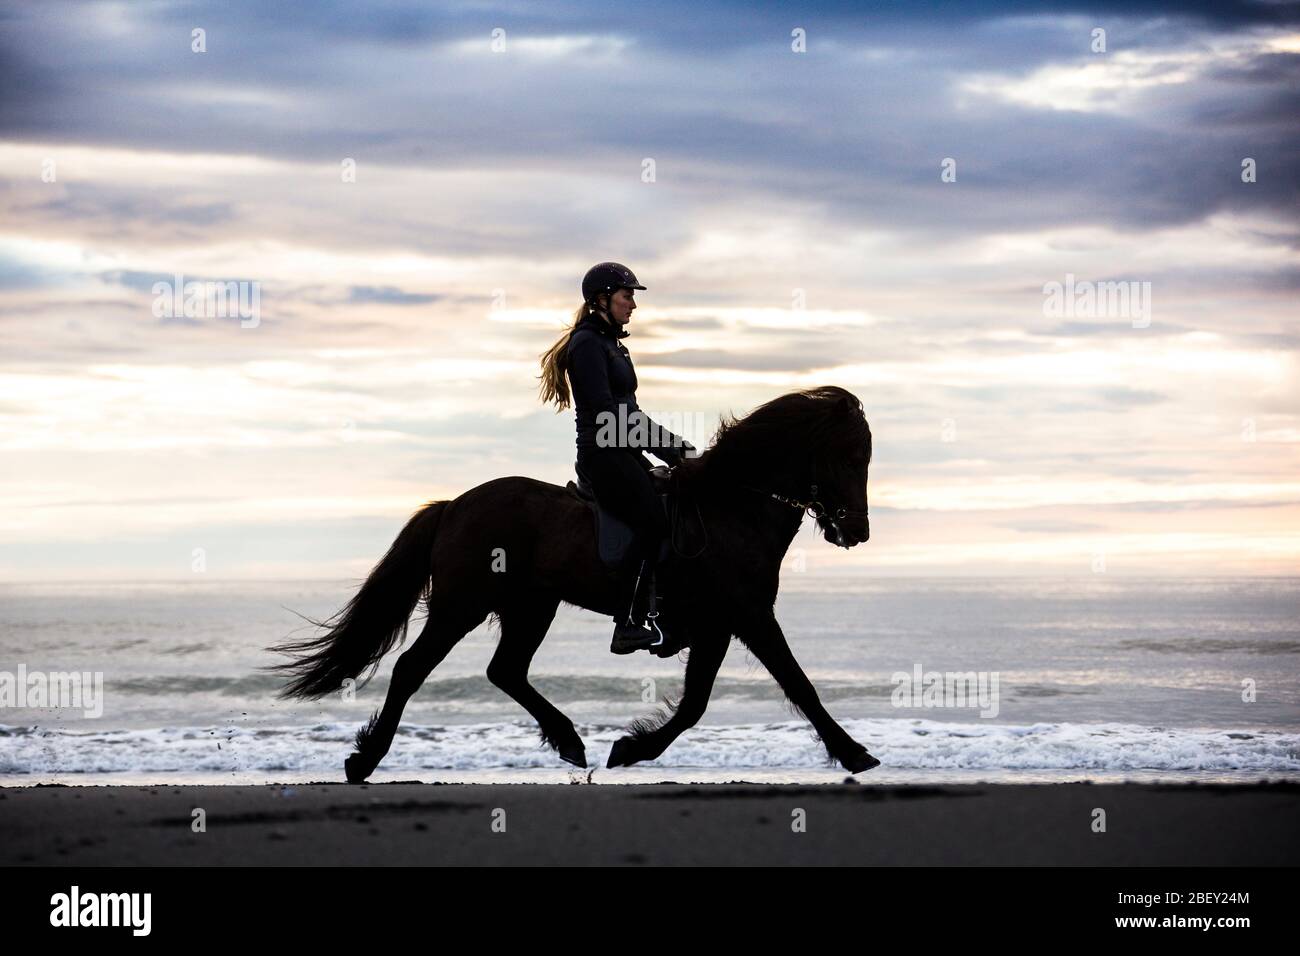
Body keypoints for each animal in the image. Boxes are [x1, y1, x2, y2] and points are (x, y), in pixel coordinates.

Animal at [266, 385, 879, 780]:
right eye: (850, 456)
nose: (857, 531)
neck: (734, 506)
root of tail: (453, 506)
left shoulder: (718, 625)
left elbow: (696, 703)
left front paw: (631, 748)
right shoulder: (747, 616)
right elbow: (798, 685)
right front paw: (854, 753)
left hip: (532, 606)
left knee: (506, 670)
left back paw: (569, 740)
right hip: (463, 604)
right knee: (413, 668)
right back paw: (365, 759)